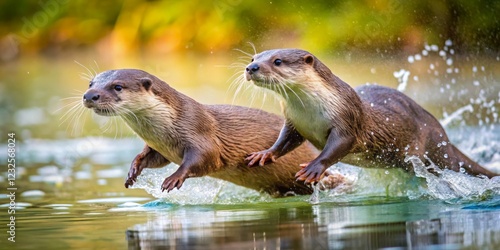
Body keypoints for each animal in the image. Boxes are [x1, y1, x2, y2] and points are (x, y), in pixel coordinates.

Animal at [80, 69, 322, 197]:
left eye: (117, 86)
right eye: (91, 83)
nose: (89, 95)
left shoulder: (199, 131)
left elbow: (204, 157)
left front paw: (173, 178)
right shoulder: (161, 149)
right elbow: (149, 157)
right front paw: (132, 171)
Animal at [244, 48, 498, 184]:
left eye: (277, 61)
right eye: (254, 58)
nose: (251, 68)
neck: (310, 111)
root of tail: (443, 134)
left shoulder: (347, 117)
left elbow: (339, 145)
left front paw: (314, 168)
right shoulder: (295, 121)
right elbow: (286, 139)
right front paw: (265, 153)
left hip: (435, 146)